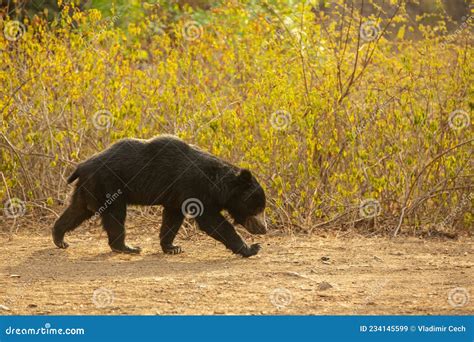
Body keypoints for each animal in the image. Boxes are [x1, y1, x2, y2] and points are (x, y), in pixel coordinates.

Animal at [52, 135, 266, 258]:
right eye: (256, 208)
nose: (263, 229)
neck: (216, 185)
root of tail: (81, 166)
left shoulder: (177, 196)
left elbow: (172, 219)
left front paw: (172, 247)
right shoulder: (195, 189)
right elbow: (212, 221)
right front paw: (251, 248)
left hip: (89, 188)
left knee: (78, 210)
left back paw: (60, 238)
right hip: (109, 186)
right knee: (115, 215)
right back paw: (128, 247)